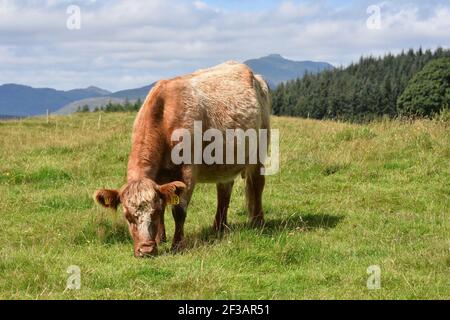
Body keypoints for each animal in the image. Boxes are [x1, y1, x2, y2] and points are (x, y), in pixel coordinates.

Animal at [94, 62, 270, 258]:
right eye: (127, 216)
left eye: (153, 213)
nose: (145, 250)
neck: (163, 117)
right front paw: (160, 239)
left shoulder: (187, 171)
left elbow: (178, 210)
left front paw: (177, 244)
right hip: (226, 161)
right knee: (224, 190)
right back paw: (218, 227)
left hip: (260, 151)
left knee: (257, 185)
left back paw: (258, 222)